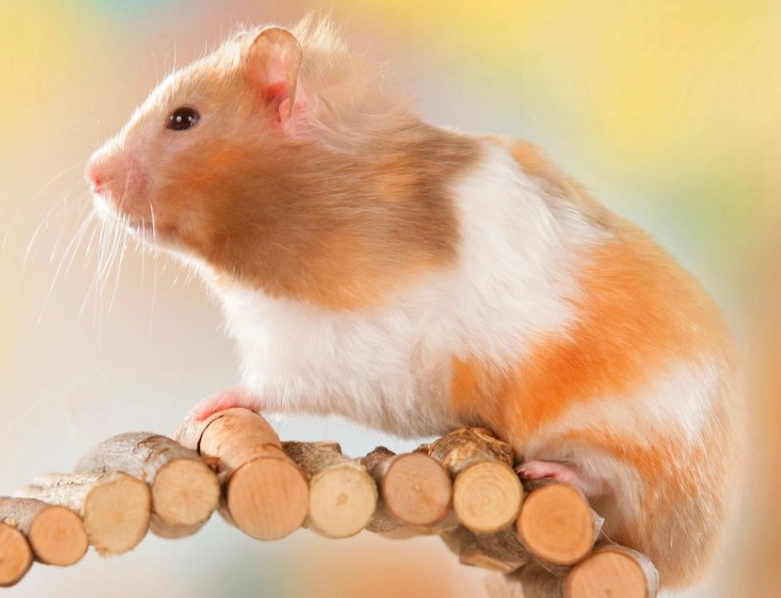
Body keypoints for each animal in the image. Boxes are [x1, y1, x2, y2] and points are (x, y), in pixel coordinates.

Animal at [85, 17, 741, 591]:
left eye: (183, 120)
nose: (91, 174)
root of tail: (693, 546)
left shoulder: (324, 347)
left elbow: (267, 385)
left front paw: (203, 405)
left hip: (609, 426)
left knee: (605, 479)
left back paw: (553, 472)